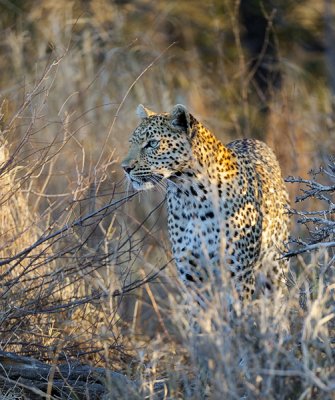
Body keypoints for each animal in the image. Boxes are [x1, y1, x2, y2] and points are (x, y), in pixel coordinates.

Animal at [122, 103, 290, 300]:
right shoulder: (192, 276)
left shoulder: (238, 276)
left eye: (152, 143)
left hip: (276, 269)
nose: (125, 168)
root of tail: (256, 141)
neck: (189, 195)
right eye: (131, 143)